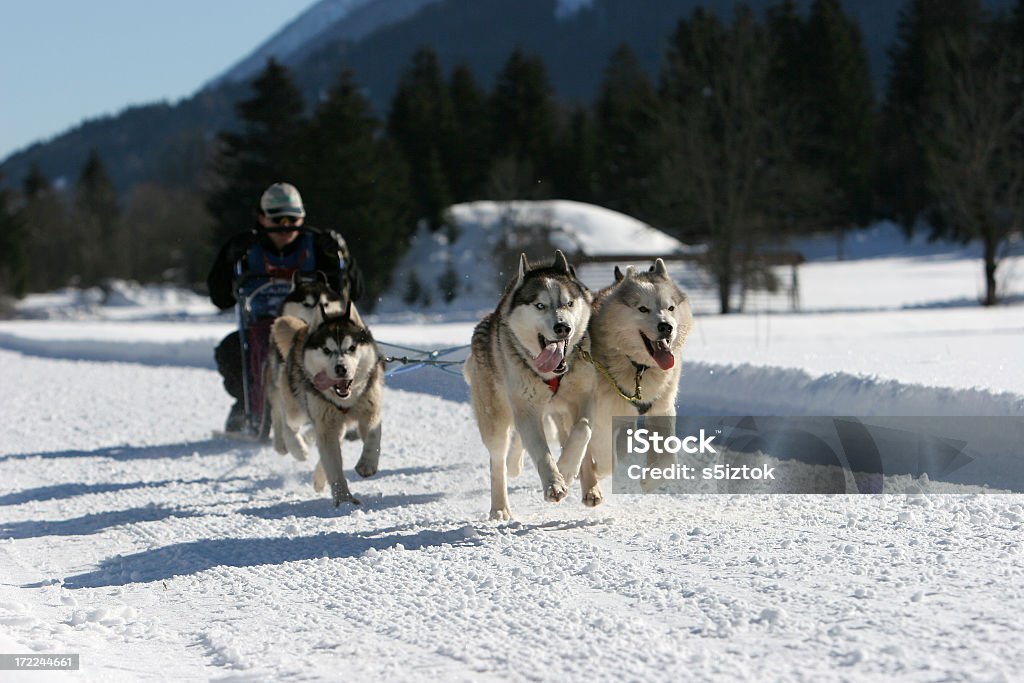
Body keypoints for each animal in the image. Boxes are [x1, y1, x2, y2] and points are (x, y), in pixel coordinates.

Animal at [270, 301, 382, 505]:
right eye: (327, 350)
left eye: (351, 348)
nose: (341, 368)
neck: (345, 401)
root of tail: (303, 330)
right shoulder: (325, 425)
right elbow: (334, 468)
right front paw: (344, 500)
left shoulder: (370, 410)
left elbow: (373, 435)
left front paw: (367, 464)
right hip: (297, 408)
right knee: (285, 417)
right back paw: (294, 446)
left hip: (337, 426)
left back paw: (318, 478)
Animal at [462, 250, 598, 524]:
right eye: (540, 305)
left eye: (569, 303)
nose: (563, 327)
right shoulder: (526, 409)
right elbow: (542, 452)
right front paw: (555, 483)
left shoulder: (585, 398)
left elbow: (583, 430)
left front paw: (567, 470)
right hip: (495, 419)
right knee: (498, 461)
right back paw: (500, 507)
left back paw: (589, 488)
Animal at [581, 259, 692, 505]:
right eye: (643, 308)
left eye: (670, 308)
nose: (666, 327)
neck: (639, 367)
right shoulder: (602, 418)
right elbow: (607, 460)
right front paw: (597, 473)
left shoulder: (662, 409)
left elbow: (670, 459)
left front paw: (651, 480)